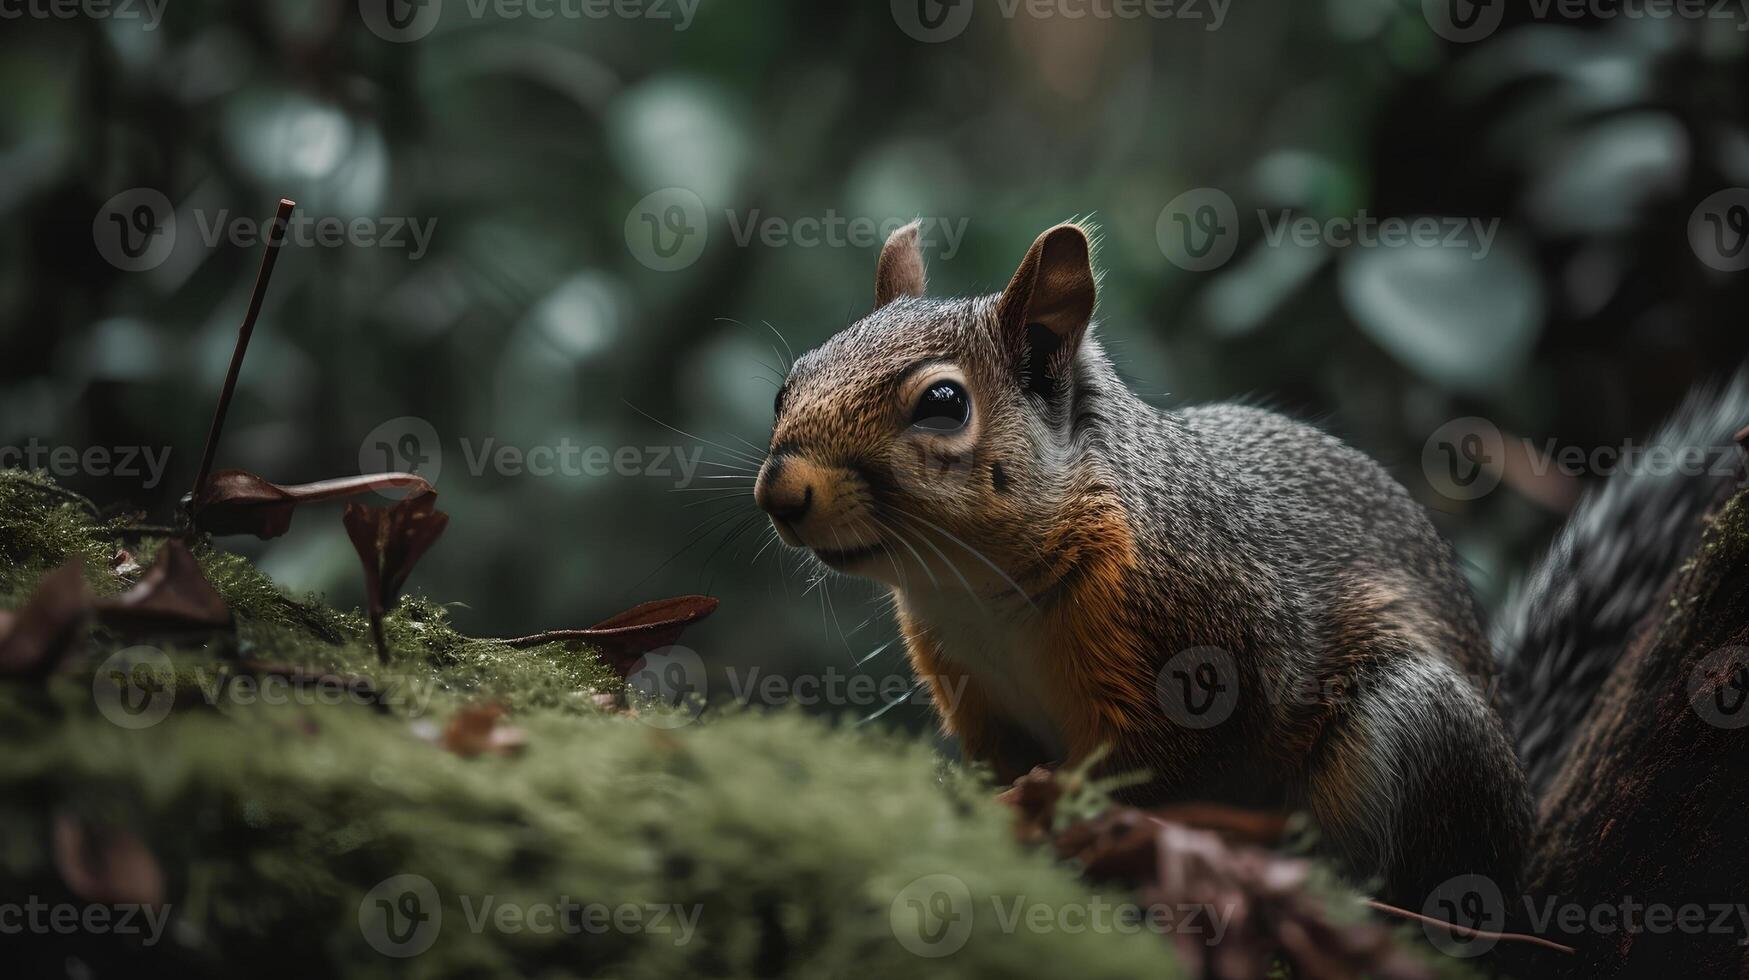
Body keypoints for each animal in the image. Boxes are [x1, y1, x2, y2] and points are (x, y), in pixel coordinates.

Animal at [755, 217, 1749, 910]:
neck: (976, 592)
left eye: (942, 404)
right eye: (786, 382)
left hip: (1416, 726)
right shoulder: (979, 694)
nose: (780, 490)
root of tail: (1525, 816)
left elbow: (1168, 767)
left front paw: (1064, 815)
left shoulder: (1208, 642)